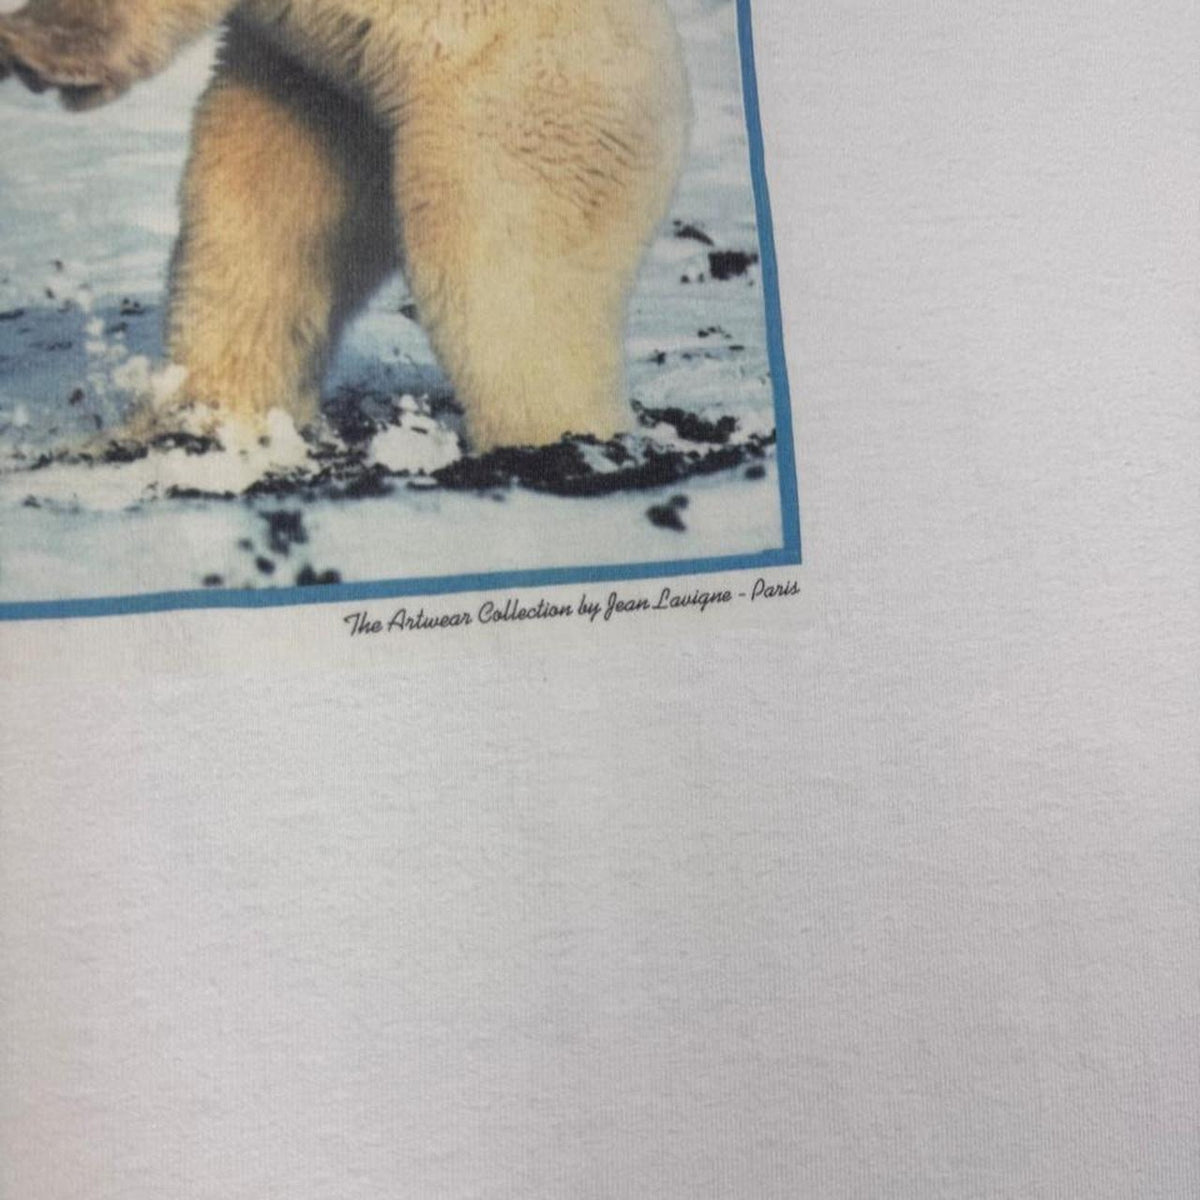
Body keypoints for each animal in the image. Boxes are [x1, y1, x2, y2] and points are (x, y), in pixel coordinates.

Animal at [0, 0, 691, 450]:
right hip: (327, 95)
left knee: (506, 282)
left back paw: (554, 442)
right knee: (252, 223)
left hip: (511, 104)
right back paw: (195, 422)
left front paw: (36, 49)